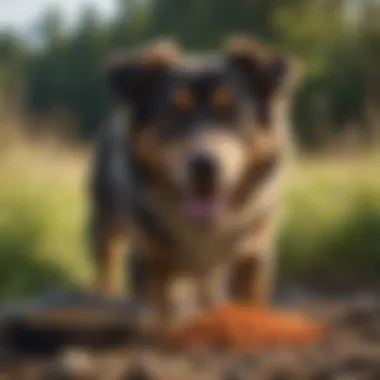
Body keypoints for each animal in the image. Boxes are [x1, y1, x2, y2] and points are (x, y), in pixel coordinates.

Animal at [90, 37, 300, 332]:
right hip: (104, 224)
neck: (203, 227)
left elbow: (252, 304)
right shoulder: (149, 258)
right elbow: (160, 315)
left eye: (231, 112)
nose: (205, 165)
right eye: (174, 112)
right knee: (105, 264)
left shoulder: (253, 256)